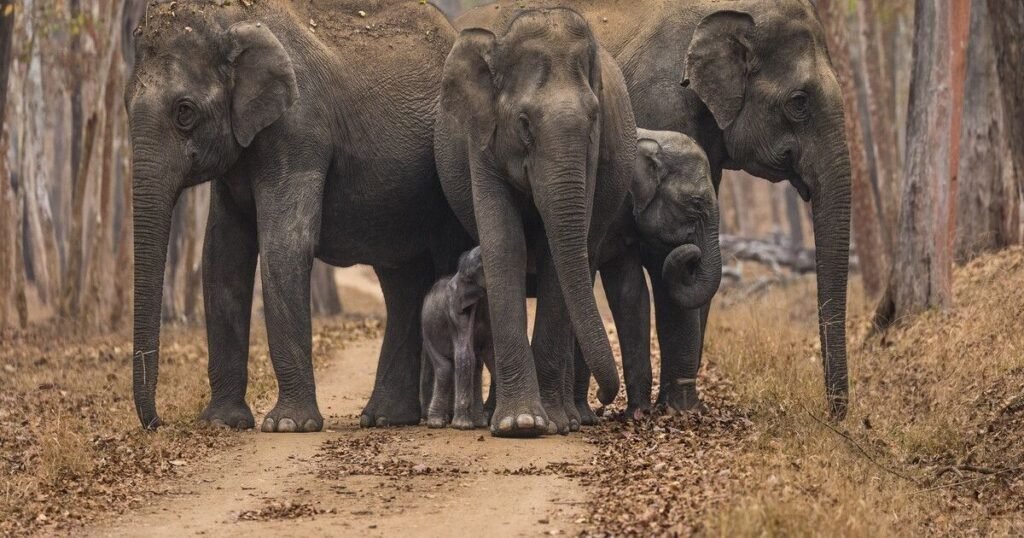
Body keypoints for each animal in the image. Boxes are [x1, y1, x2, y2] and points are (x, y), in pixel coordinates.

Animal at [125, 0, 469, 432]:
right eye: (125, 105)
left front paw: (289, 425)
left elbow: (284, 247)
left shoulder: (298, 129)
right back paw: (385, 418)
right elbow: (221, 258)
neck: (231, 19)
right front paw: (222, 423)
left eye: (184, 112)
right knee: (402, 283)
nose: (157, 423)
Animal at [421, 246, 493, 430]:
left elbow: (488, 350)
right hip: (428, 333)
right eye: (482, 264)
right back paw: (437, 423)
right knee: (445, 369)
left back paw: (478, 423)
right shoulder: (454, 310)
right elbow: (464, 353)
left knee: (476, 366)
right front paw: (463, 426)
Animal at [434, 8, 637, 436]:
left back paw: (572, 418)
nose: (606, 397)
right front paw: (520, 424)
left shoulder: (591, 157)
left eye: (594, 118)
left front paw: (551, 423)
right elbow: (503, 245)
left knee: (583, 258)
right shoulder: (481, 140)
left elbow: (554, 255)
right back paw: (498, 415)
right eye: (524, 122)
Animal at [458, 0, 853, 420]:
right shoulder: (661, 103)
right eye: (799, 102)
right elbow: (663, 260)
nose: (834, 415)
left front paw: (682, 404)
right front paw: (678, 409)